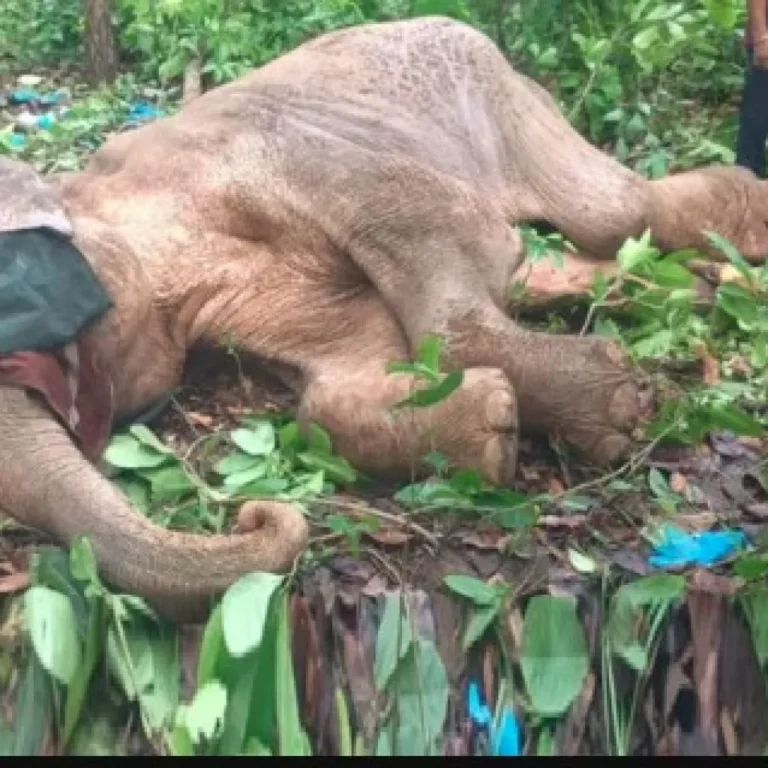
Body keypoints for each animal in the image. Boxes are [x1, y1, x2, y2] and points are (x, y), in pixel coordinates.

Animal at [1, 16, 766, 621]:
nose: (253, 511)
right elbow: (340, 377)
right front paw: (495, 429)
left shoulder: (302, 154)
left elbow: (416, 220)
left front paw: (613, 407)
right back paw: (688, 288)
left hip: (500, 92)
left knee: (615, 208)